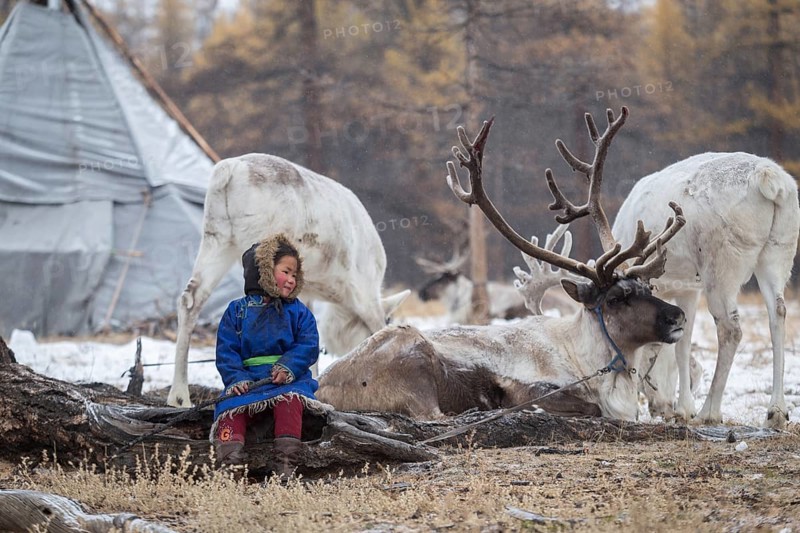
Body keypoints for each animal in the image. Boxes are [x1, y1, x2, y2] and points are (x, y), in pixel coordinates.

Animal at [167, 153, 410, 407]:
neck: (340, 302)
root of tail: (230, 169)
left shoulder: (306, 292)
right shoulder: (364, 291)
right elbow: (378, 329)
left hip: (217, 238)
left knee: (191, 299)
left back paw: (179, 397)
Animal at [317, 107, 688, 421]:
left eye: (648, 287)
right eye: (615, 298)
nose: (678, 315)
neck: (586, 360)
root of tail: (321, 387)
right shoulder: (529, 387)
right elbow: (589, 407)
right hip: (413, 355)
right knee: (433, 415)